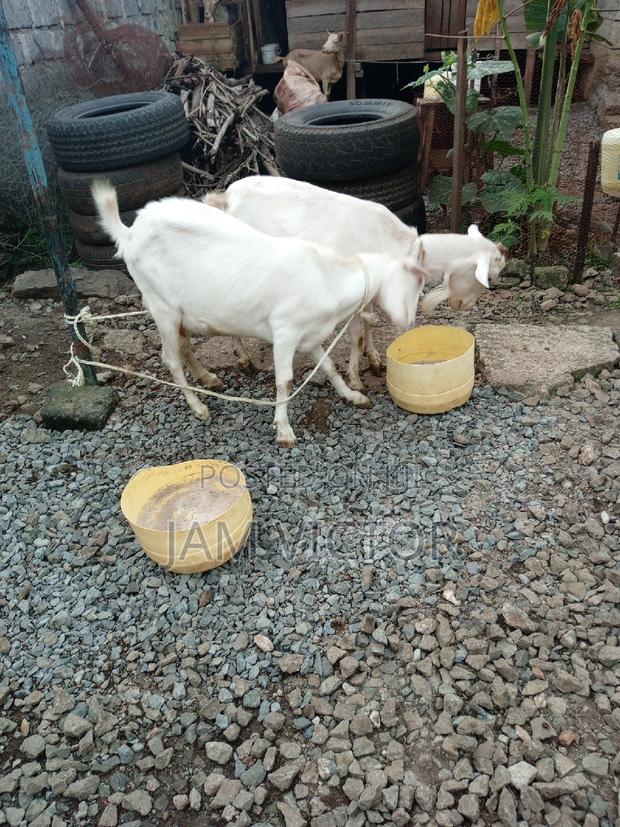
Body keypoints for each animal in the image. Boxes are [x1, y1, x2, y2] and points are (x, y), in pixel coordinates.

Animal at [91, 181, 426, 448]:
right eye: (414, 280)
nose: (410, 321)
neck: (327, 277)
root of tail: (131, 232)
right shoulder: (285, 332)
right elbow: (285, 381)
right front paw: (284, 430)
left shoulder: (310, 335)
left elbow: (329, 366)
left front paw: (353, 395)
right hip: (162, 307)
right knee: (170, 359)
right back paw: (199, 406)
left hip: (180, 312)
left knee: (183, 346)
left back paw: (209, 378)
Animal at [203, 176, 506, 390]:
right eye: (488, 279)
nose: (463, 305)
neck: (398, 244)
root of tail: (226, 197)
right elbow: (358, 332)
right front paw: (356, 378)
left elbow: (370, 325)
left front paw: (374, 360)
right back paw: (243, 357)